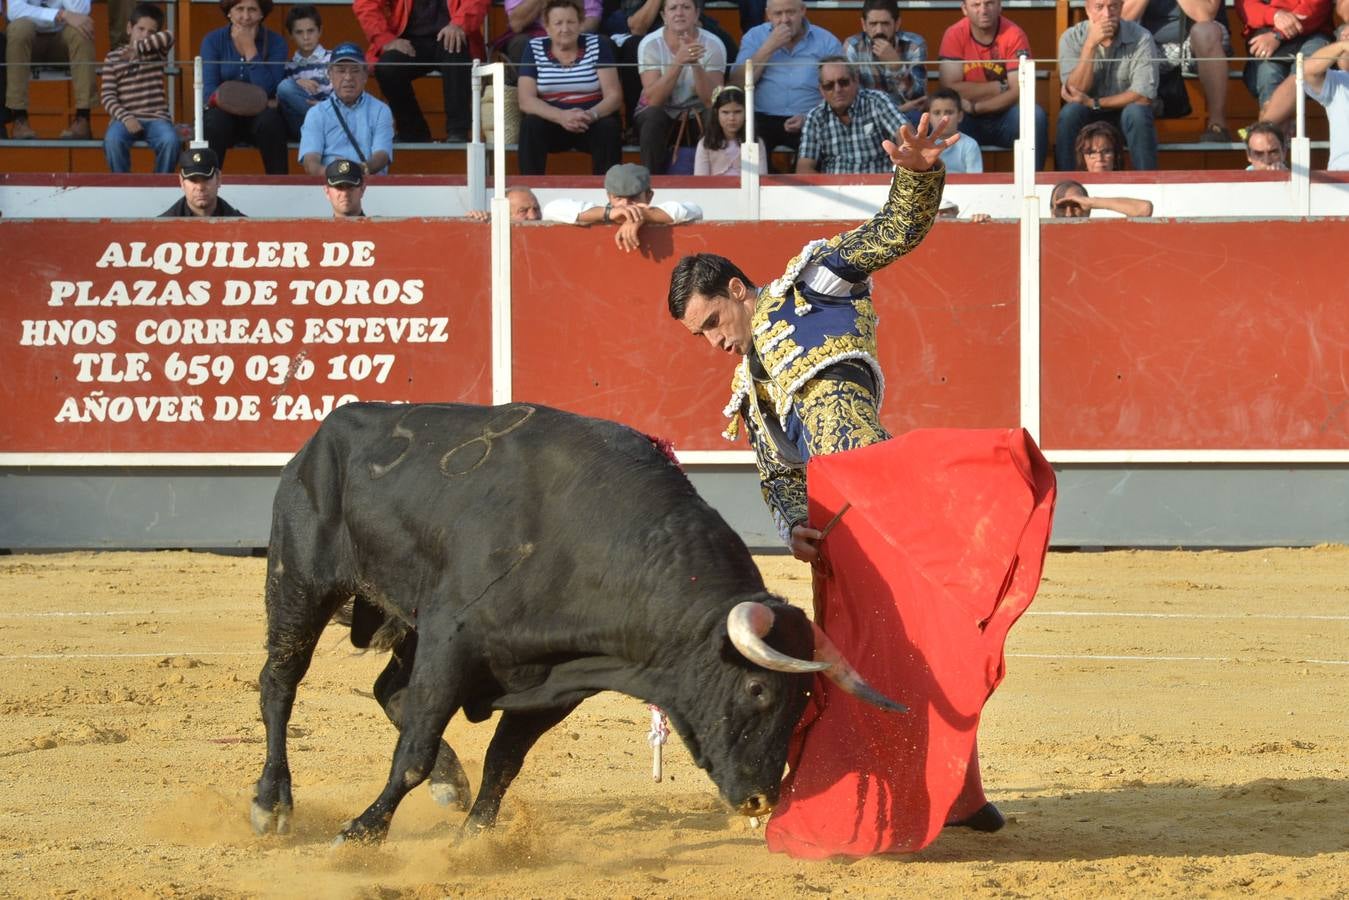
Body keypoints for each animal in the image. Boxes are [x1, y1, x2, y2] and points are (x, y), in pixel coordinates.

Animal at [250, 402, 906, 847]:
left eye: (806, 702)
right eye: (757, 689)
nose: (760, 798)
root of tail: (322, 434)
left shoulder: (554, 683)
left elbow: (503, 761)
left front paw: (473, 839)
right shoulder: (451, 641)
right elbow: (413, 748)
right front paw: (360, 832)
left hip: (398, 621)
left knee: (389, 689)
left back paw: (449, 783)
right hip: (300, 580)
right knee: (280, 682)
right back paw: (271, 803)